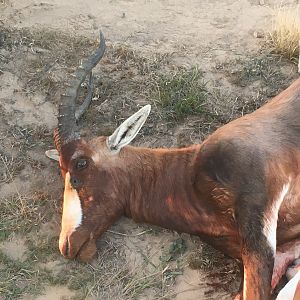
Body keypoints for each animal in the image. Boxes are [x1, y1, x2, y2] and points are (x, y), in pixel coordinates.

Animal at [45, 31, 300, 298]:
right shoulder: (285, 252)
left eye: (81, 163)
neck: (191, 174)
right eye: (61, 169)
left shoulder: (259, 236)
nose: (66, 245)